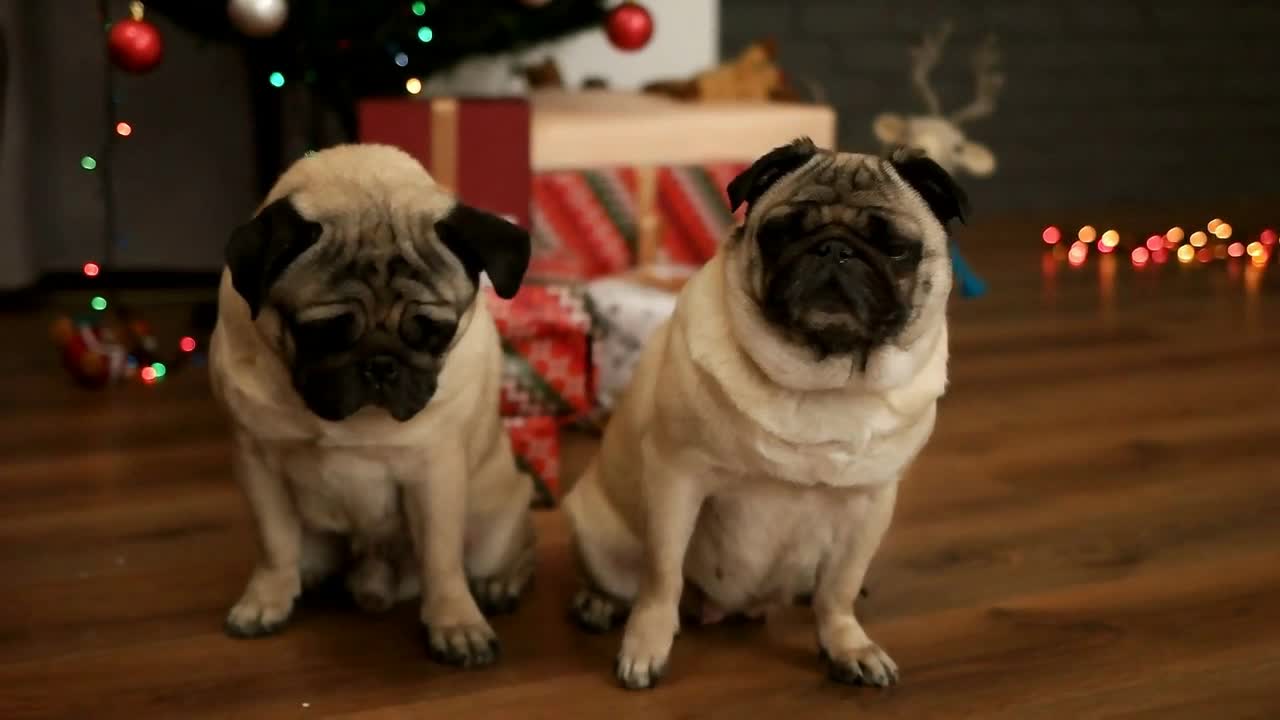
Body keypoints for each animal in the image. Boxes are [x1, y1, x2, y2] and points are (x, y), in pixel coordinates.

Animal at [208, 142, 535, 666]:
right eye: (322, 333)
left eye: (434, 332)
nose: (381, 364)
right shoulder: (256, 462)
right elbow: (274, 544)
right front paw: (265, 601)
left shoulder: (435, 472)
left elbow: (442, 560)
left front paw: (456, 624)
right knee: (300, 555)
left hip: (497, 522)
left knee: (511, 552)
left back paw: (500, 585)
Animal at [565, 137, 962, 686]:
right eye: (782, 234)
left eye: (896, 248)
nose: (834, 249)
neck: (823, 380)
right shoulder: (676, 478)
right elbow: (661, 575)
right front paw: (645, 646)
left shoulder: (870, 503)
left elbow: (838, 588)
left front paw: (847, 645)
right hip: (598, 530)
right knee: (624, 577)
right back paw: (598, 603)